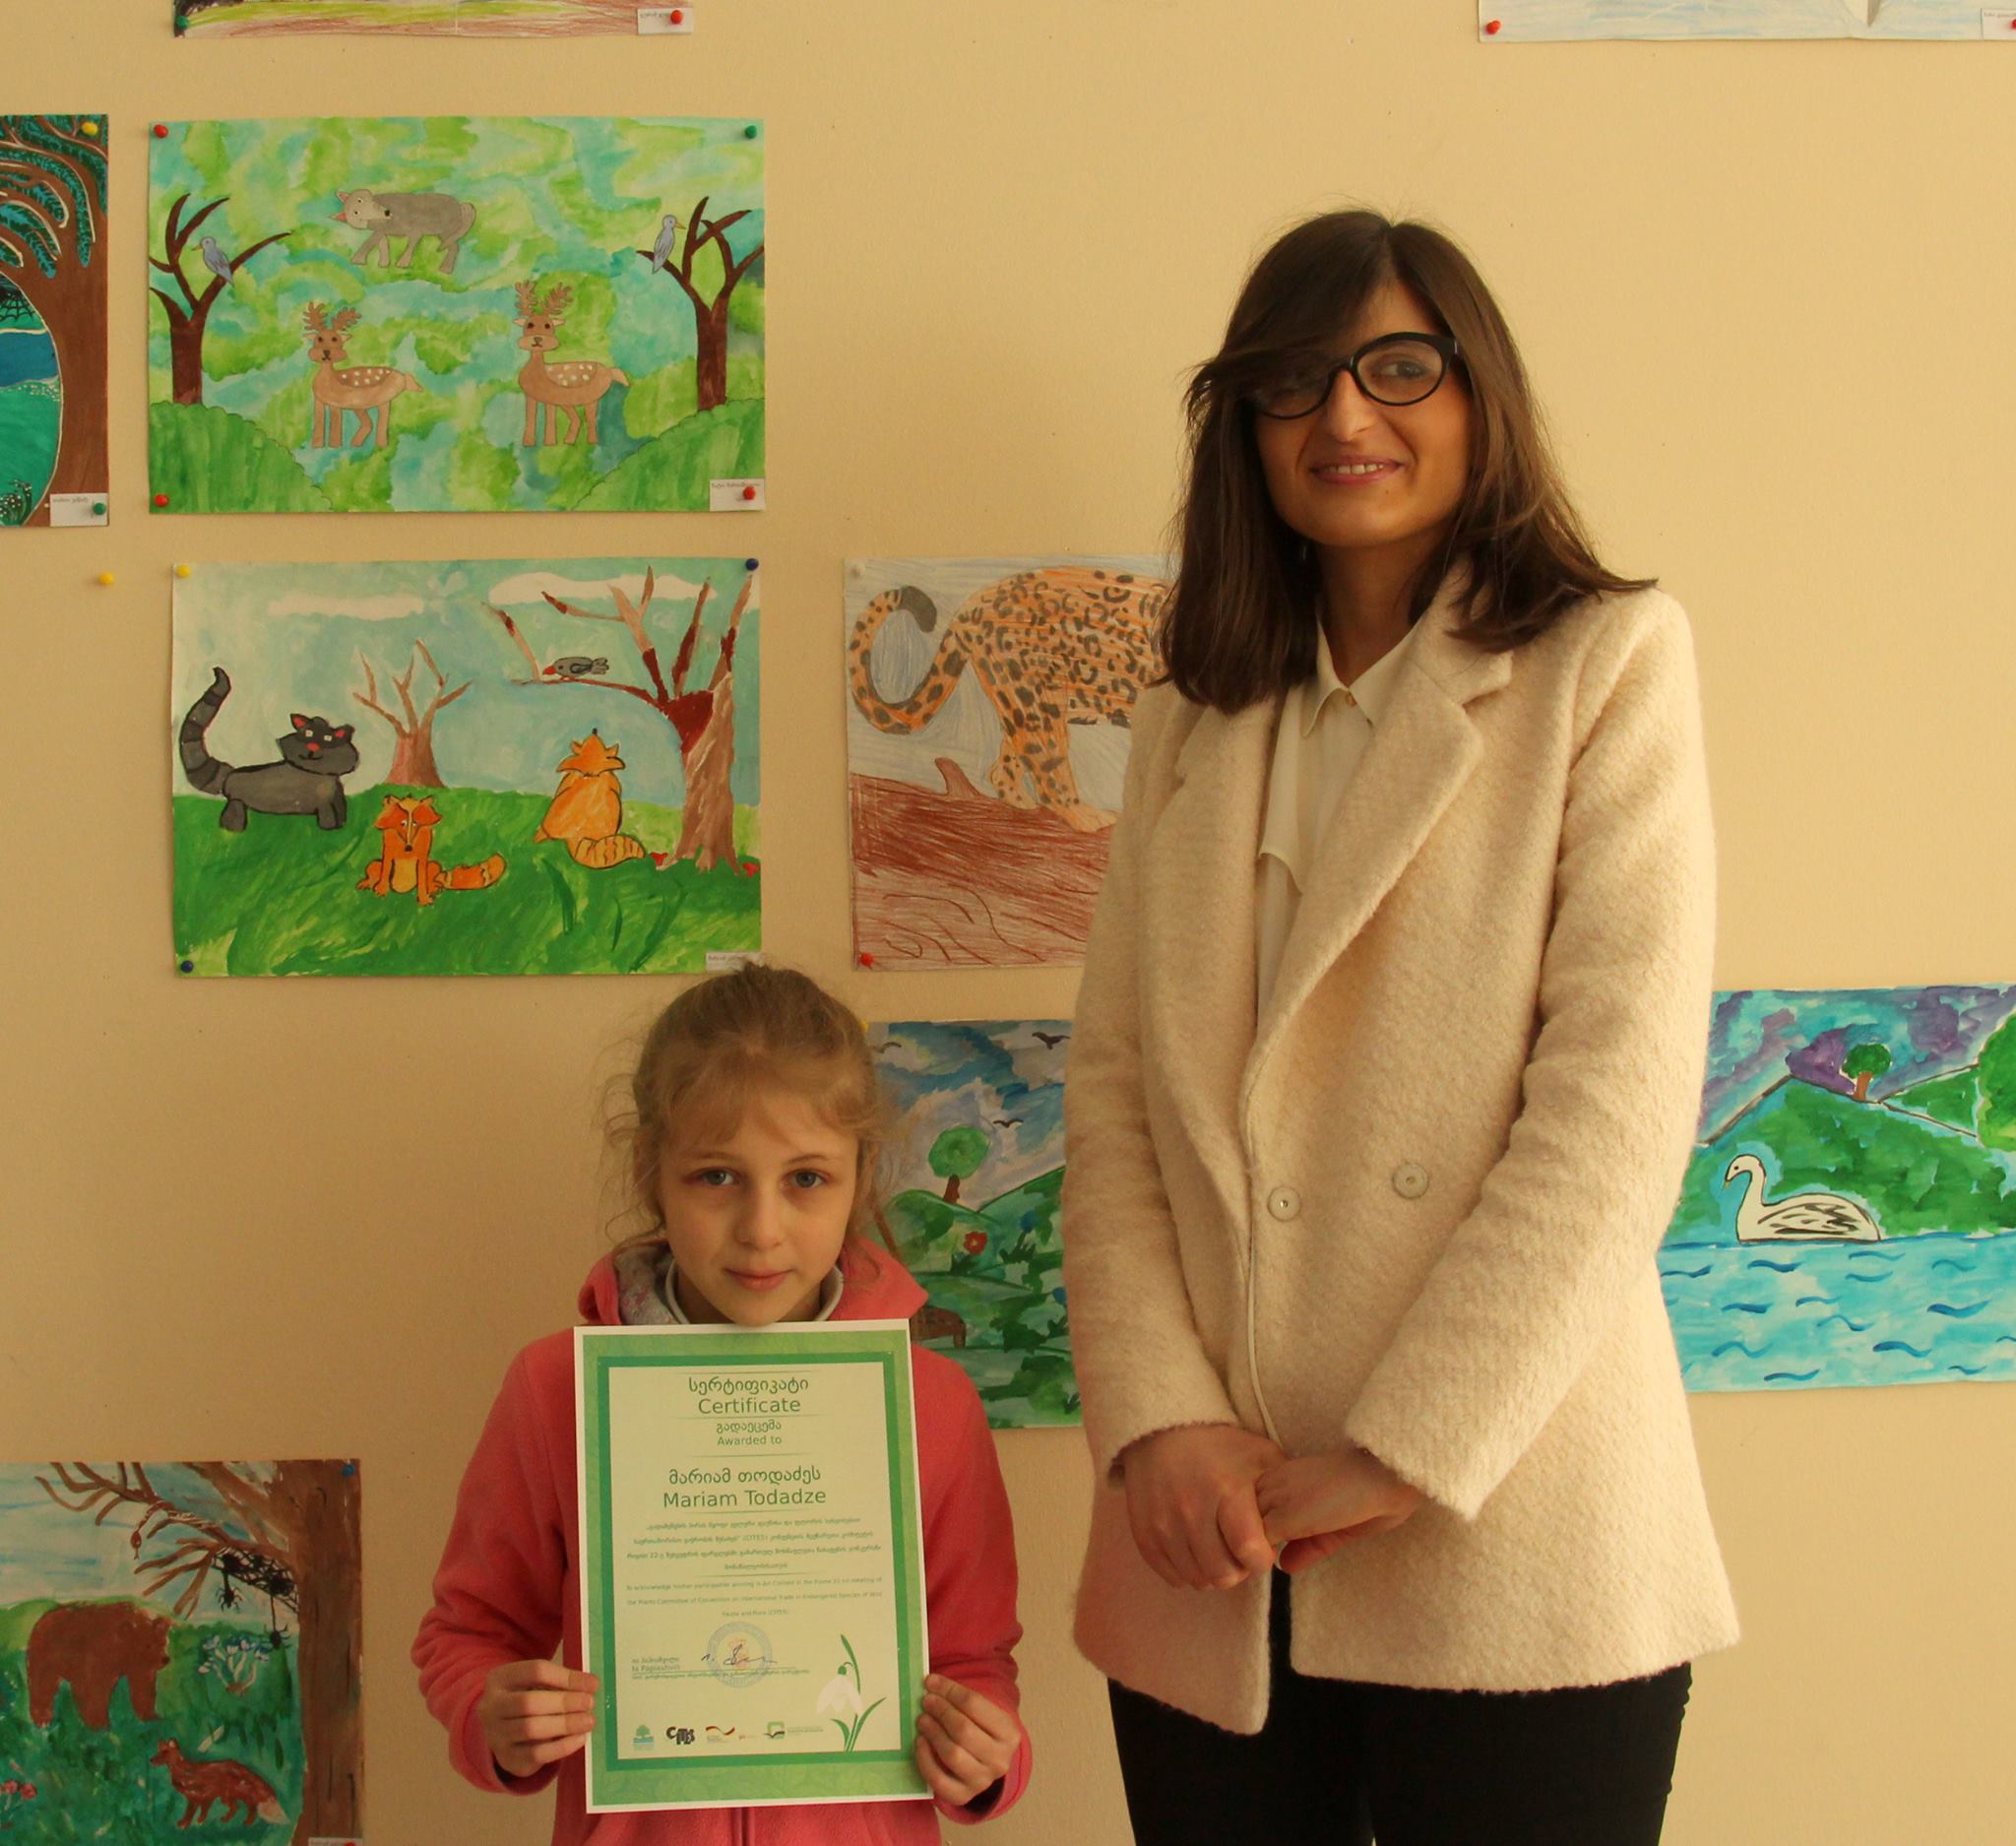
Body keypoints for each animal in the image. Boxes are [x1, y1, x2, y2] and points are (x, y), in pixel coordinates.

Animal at [150, 1739, 286, 1828]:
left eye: (165, 1752)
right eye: (158, 1752)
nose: (150, 1760)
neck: (184, 1773)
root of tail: (241, 1767)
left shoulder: (197, 1798)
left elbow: (190, 1814)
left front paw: (186, 1825)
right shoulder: (204, 1798)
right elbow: (200, 1813)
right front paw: (197, 1822)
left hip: (235, 1795)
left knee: (250, 1807)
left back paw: (247, 1822)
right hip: (227, 1797)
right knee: (236, 1808)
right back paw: (227, 1820)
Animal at [179, 667, 358, 833]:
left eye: (328, 739)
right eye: (308, 734)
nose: (312, 748)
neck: (321, 777)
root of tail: (230, 774)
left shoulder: (336, 799)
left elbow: (341, 811)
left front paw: (340, 825)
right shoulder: (323, 805)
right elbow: (328, 816)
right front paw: (329, 828)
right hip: (237, 801)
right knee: (233, 811)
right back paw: (232, 828)